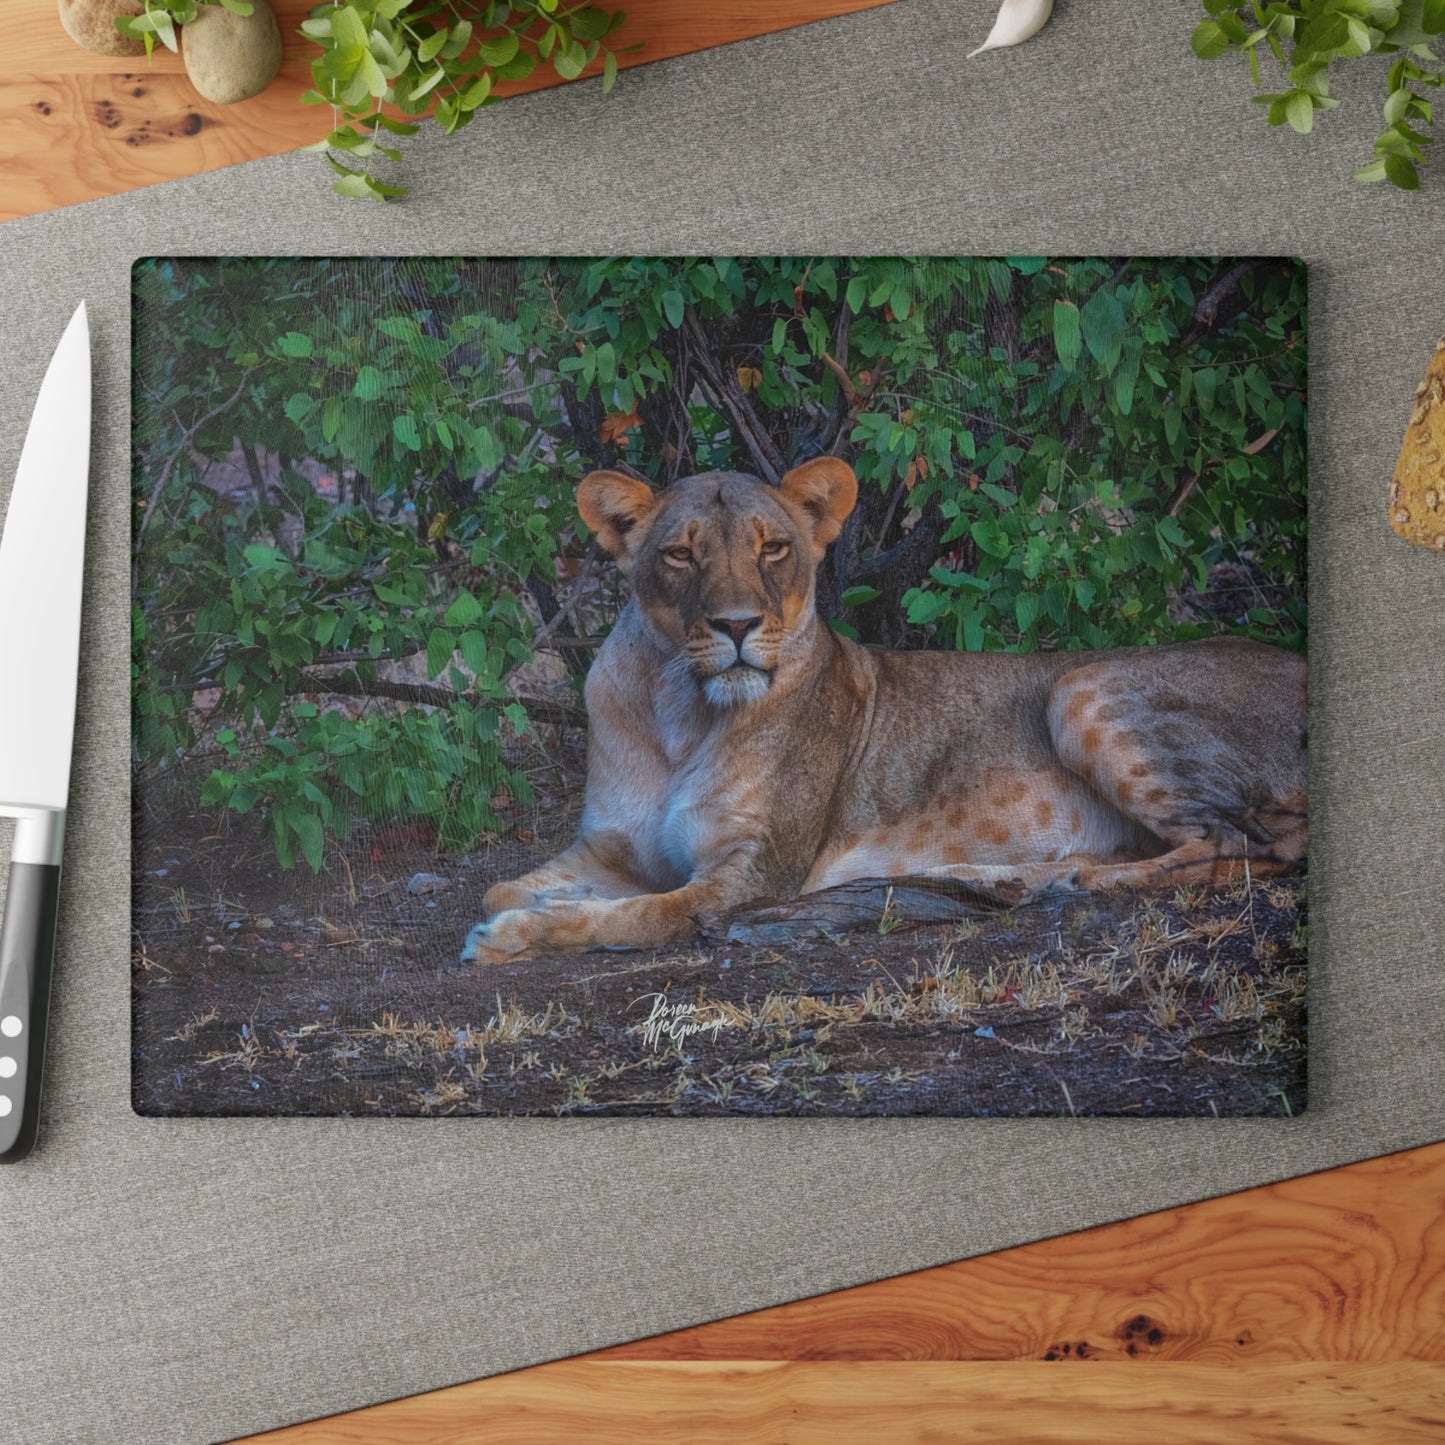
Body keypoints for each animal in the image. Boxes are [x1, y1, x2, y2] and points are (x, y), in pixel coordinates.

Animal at [461, 458, 1307, 965]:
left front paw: (513, 936)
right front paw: (528, 902)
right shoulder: (609, 850)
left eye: (772, 548)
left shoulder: (751, 873)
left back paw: (1064, 882)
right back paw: (1000, 878)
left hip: (1079, 684)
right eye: (680, 553)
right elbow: (505, 884)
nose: (735, 626)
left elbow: (635, 916)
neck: (679, 707)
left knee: (1238, 844)